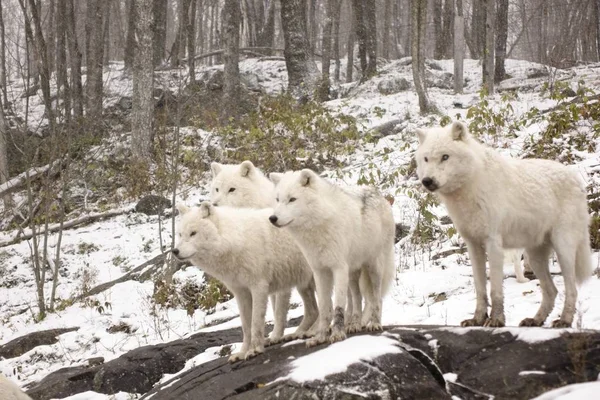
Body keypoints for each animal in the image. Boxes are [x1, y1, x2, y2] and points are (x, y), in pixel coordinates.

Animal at [173, 202, 318, 360]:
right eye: (180, 234)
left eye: (193, 233)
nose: (175, 251)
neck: (236, 240)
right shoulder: (241, 293)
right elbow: (246, 326)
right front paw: (243, 353)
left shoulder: (259, 287)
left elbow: (257, 322)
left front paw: (255, 350)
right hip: (304, 283)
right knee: (313, 311)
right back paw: (299, 333)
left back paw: (313, 332)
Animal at [270, 169, 396, 346]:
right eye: (278, 199)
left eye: (292, 199)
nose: (272, 218)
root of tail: (379, 194)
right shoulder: (319, 271)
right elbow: (324, 307)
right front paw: (320, 336)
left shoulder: (338, 268)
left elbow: (338, 306)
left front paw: (337, 334)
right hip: (353, 274)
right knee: (357, 298)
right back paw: (354, 324)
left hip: (374, 268)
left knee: (376, 297)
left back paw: (375, 323)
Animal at [414, 120, 592, 326]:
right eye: (426, 159)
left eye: (445, 157)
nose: (427, 181)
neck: (471, 187)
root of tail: (576, 179)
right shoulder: (473, 245)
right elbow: (480, 289)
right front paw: (477, 319)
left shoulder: (493, 243)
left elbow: (495, 289)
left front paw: (497, 320)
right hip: (535, 258)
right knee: (552, 291)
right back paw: (535, 320)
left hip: (563, 249)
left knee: (572, 289)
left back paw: (564, 321)